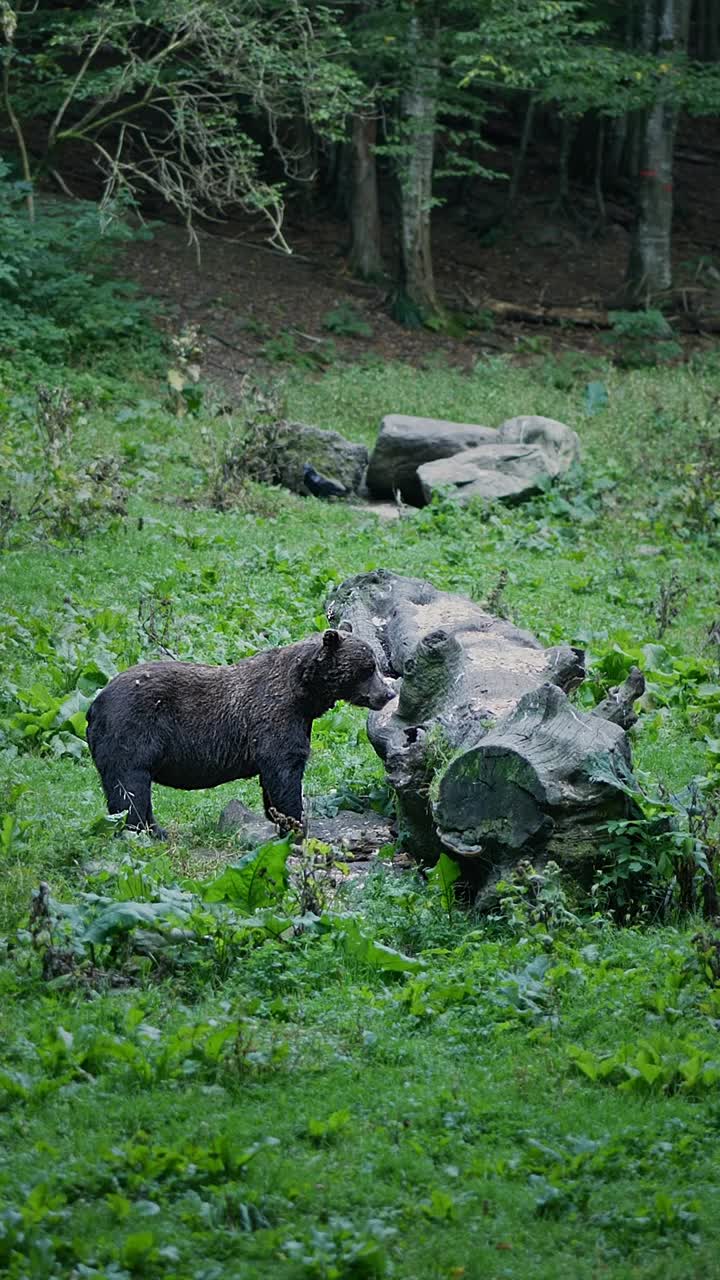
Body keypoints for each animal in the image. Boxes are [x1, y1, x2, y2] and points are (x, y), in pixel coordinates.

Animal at [86, 628, 395, 838]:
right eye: (368, 668)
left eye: (376, 664)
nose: (388, 694)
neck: (304, 693)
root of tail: (94, 704)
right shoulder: (275, 717)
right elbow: (284, 771)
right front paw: (296, 824)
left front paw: (280, 820)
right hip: (132, 729)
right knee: (129, 785)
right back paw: (146, 831)